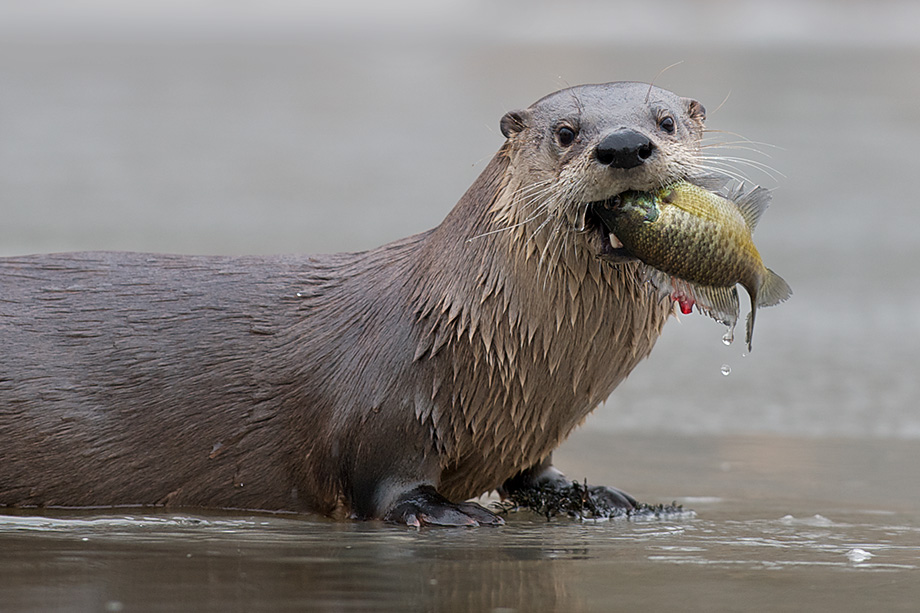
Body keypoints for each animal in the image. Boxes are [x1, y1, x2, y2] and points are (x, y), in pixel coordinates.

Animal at [0, 81, 708, 524]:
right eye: (565, 132)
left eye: (666, 121)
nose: (623, 144)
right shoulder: (384, 407)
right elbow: (386, 484)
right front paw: (448, 512)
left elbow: (532, 475)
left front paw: (598, 497)